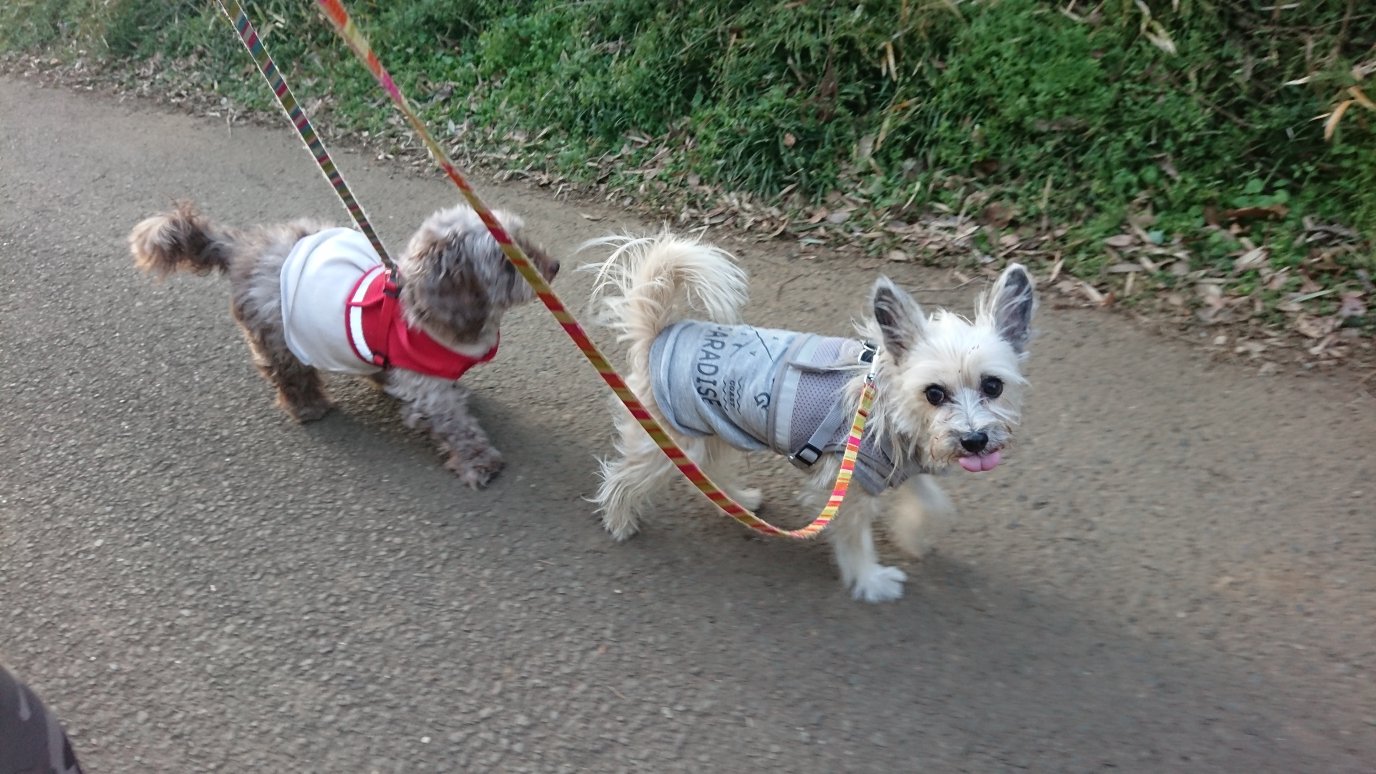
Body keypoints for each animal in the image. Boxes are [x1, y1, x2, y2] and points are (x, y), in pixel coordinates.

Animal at [129, 201, 559, 488]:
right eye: (508, 260)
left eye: (524, 238)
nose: (553, 266)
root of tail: (245, 248)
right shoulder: (428, 390)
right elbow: (455, 423)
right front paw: (478, 461)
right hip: (277, 339)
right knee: (288, 375)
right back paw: (307, 407)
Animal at [584, 234, 1035, 601]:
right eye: (935, 393)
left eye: (992, 386)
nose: (975, 440)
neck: (886, 406)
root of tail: (658, 334)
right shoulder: (848, 486)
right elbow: (855, 539)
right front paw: (871, 581)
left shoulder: (900, 465)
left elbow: (930, 499)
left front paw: (914, 536)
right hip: (671, 439)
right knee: (625, 479)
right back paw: (619, 521)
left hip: (717, 427)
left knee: (709, 471)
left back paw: (740, 502)